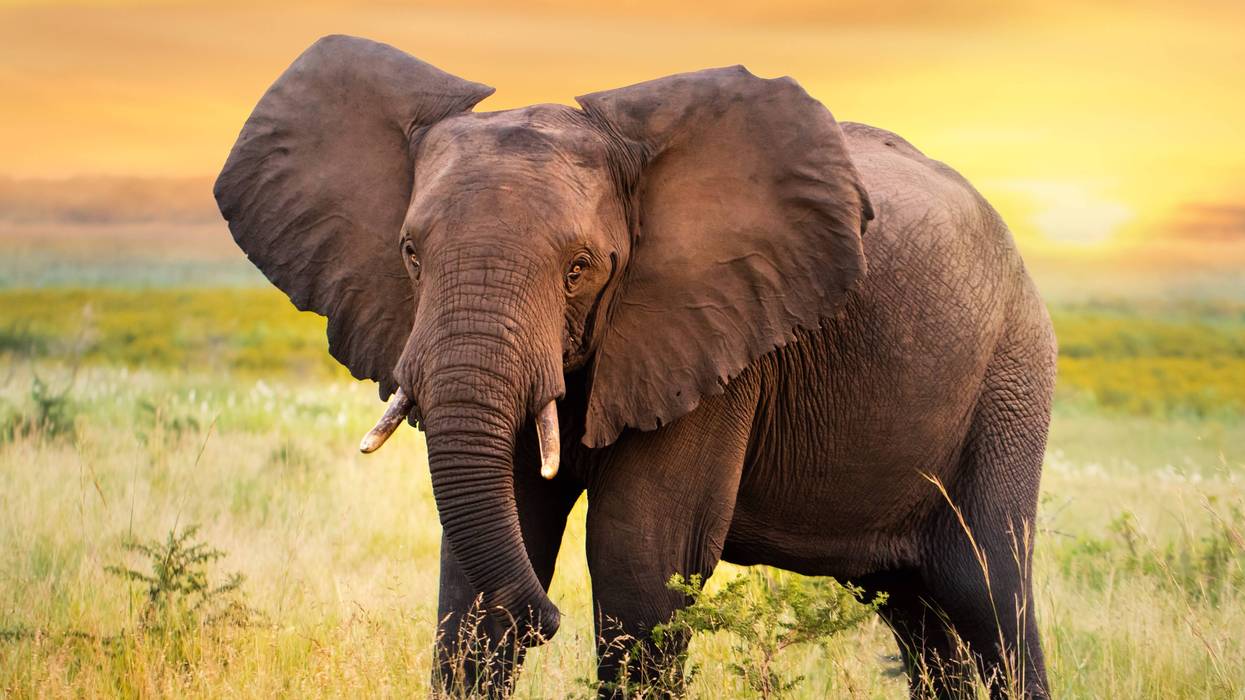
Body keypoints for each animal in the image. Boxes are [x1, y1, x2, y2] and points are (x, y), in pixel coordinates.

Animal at [215, 35, 1056, 698]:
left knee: (986, 592)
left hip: (1010, 377)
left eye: (580, 267)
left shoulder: (717, 340)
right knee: (918, 614)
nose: (545, 622)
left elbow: (639, 560)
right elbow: (485, 565)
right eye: (411, 253)